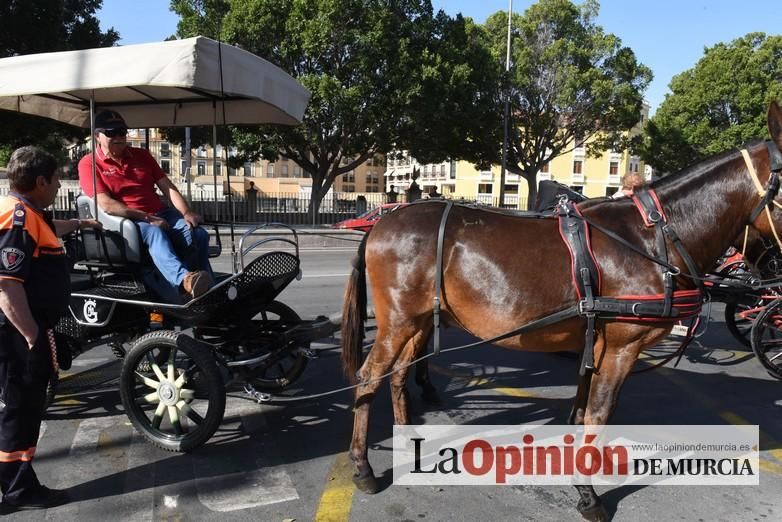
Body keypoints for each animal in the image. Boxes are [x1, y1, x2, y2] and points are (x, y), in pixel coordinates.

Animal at [346, 101, 782, 520]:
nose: (773, 275)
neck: (650, 239)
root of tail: (383, 223)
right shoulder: (621, 347)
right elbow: (600, 413)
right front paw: (588, 494)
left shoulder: (598, 344)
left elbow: (584, 411)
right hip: (398, 322)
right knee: (369, 378)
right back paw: (362, 468)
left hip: (417, 322)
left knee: (397, 375)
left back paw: (408, 443)